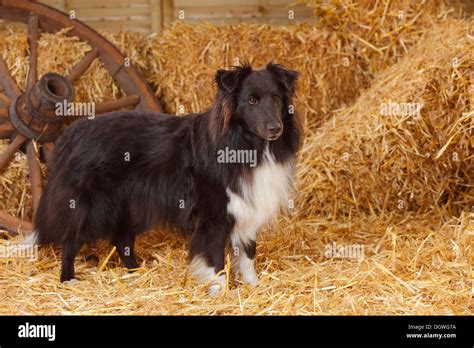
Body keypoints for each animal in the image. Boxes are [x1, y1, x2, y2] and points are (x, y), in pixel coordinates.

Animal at [26, 62, 300, 294]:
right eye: (251, 100)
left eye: (276, 98)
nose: (275, 128)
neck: (246, 144)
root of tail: (74, 132)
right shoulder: (213, 216)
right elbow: (215, 260)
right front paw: (221, 294)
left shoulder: (246, 210)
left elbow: (247, 255)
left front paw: (255, 287)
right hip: (93, 206)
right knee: (71, 240)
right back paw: (68, 280)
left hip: (130, 205)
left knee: (121, 239)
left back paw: (136, 272)